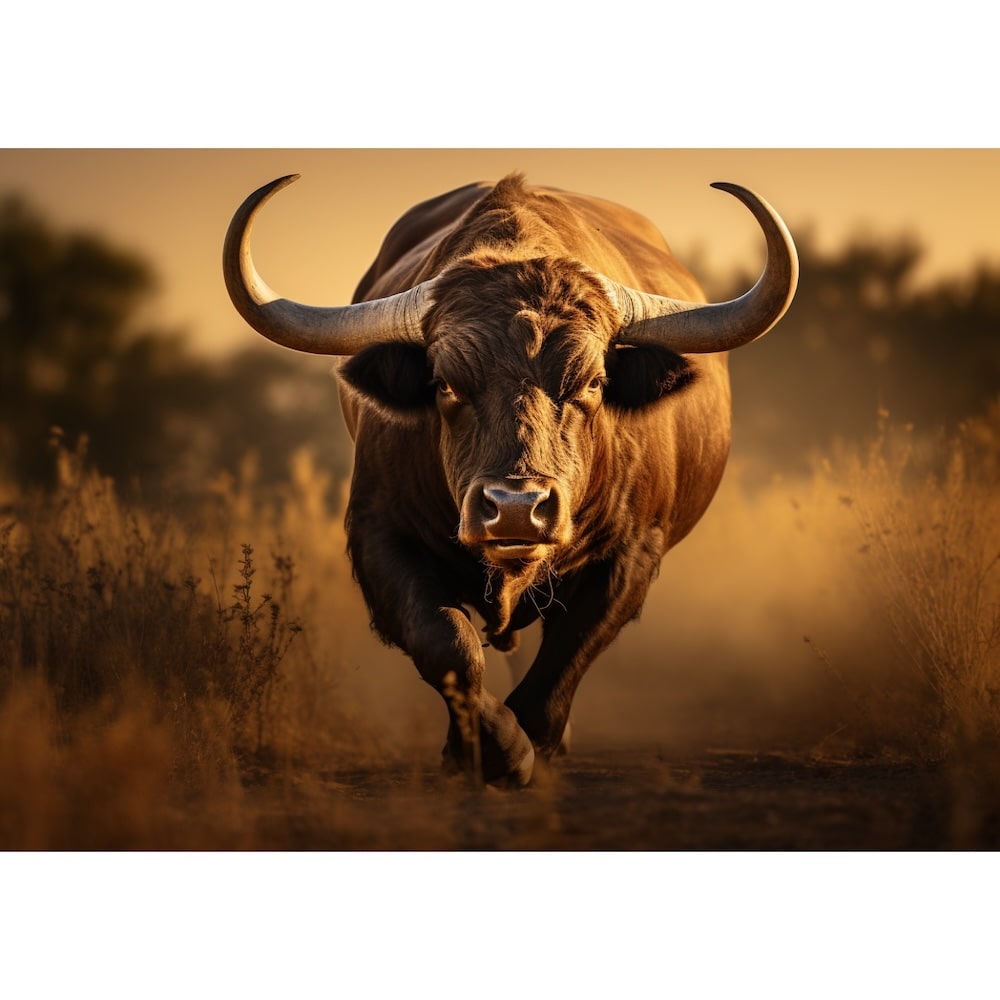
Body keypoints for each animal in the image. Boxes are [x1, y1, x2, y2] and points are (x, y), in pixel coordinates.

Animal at [223, 172, 798, 786]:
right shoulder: (378, 535)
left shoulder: (632, 552)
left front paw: (533, 744)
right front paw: (489, 748)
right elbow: (447, 645)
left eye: (593, 383)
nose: (517, 508)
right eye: (446, 383)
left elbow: (565, 657)